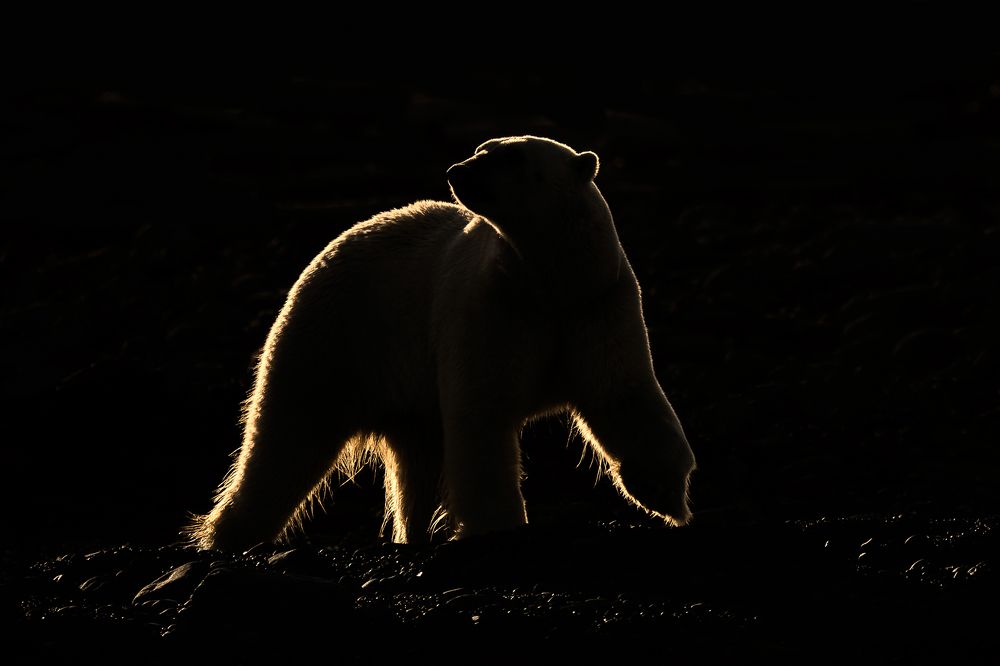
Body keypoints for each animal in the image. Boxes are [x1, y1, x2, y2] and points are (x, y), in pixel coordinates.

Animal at [186, 136, 696, 551]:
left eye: (511, 156)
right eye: (481, 148)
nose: (458, 171)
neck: (547, 284)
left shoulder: (595, 304)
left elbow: (621, 395)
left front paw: (667, 496)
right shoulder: (492, 308)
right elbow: (482, 415)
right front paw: (499, 525)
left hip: (404, 388)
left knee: (416, 461)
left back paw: (414, 533)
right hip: (336, 335)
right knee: (286, 436)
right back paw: (227, 538)